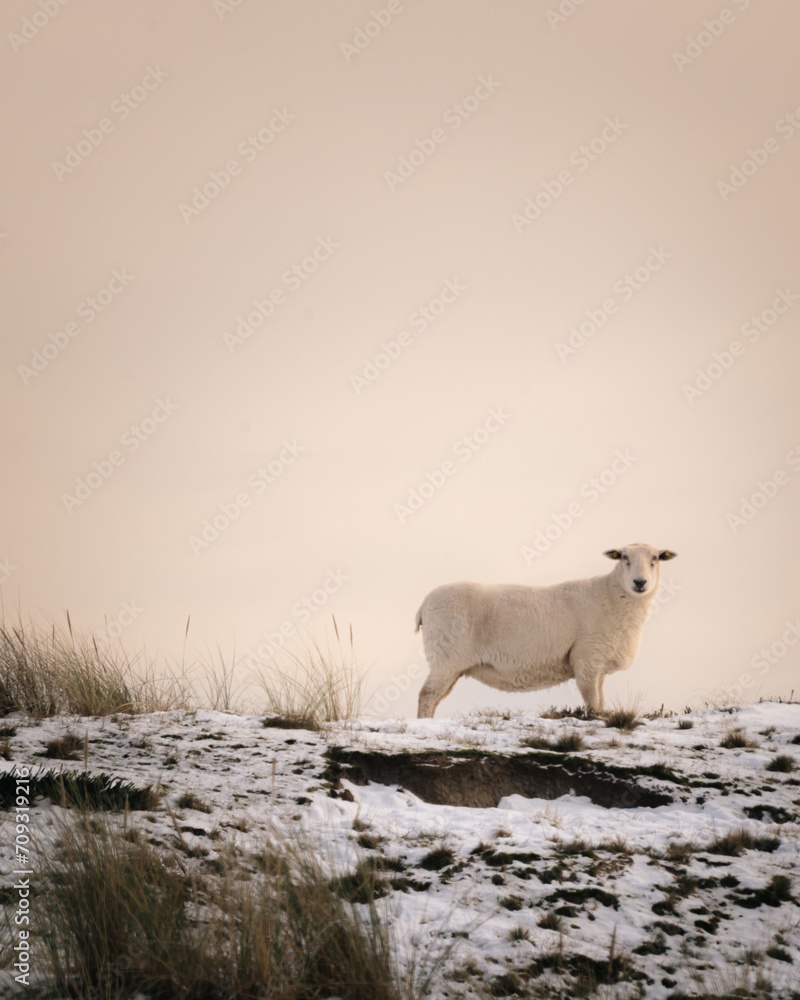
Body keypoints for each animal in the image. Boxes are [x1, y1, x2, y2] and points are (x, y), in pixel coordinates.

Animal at [415, 543, 677, 718]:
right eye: (623, 557)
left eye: (655, 558)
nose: (640, 582)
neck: (612, 596)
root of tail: (424, 604)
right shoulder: (586, 658)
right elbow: (591, 700)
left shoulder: (599, 663)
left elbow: (600, 700)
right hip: (446, 656)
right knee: (427, 695)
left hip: (452, 665)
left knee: (436, 697)